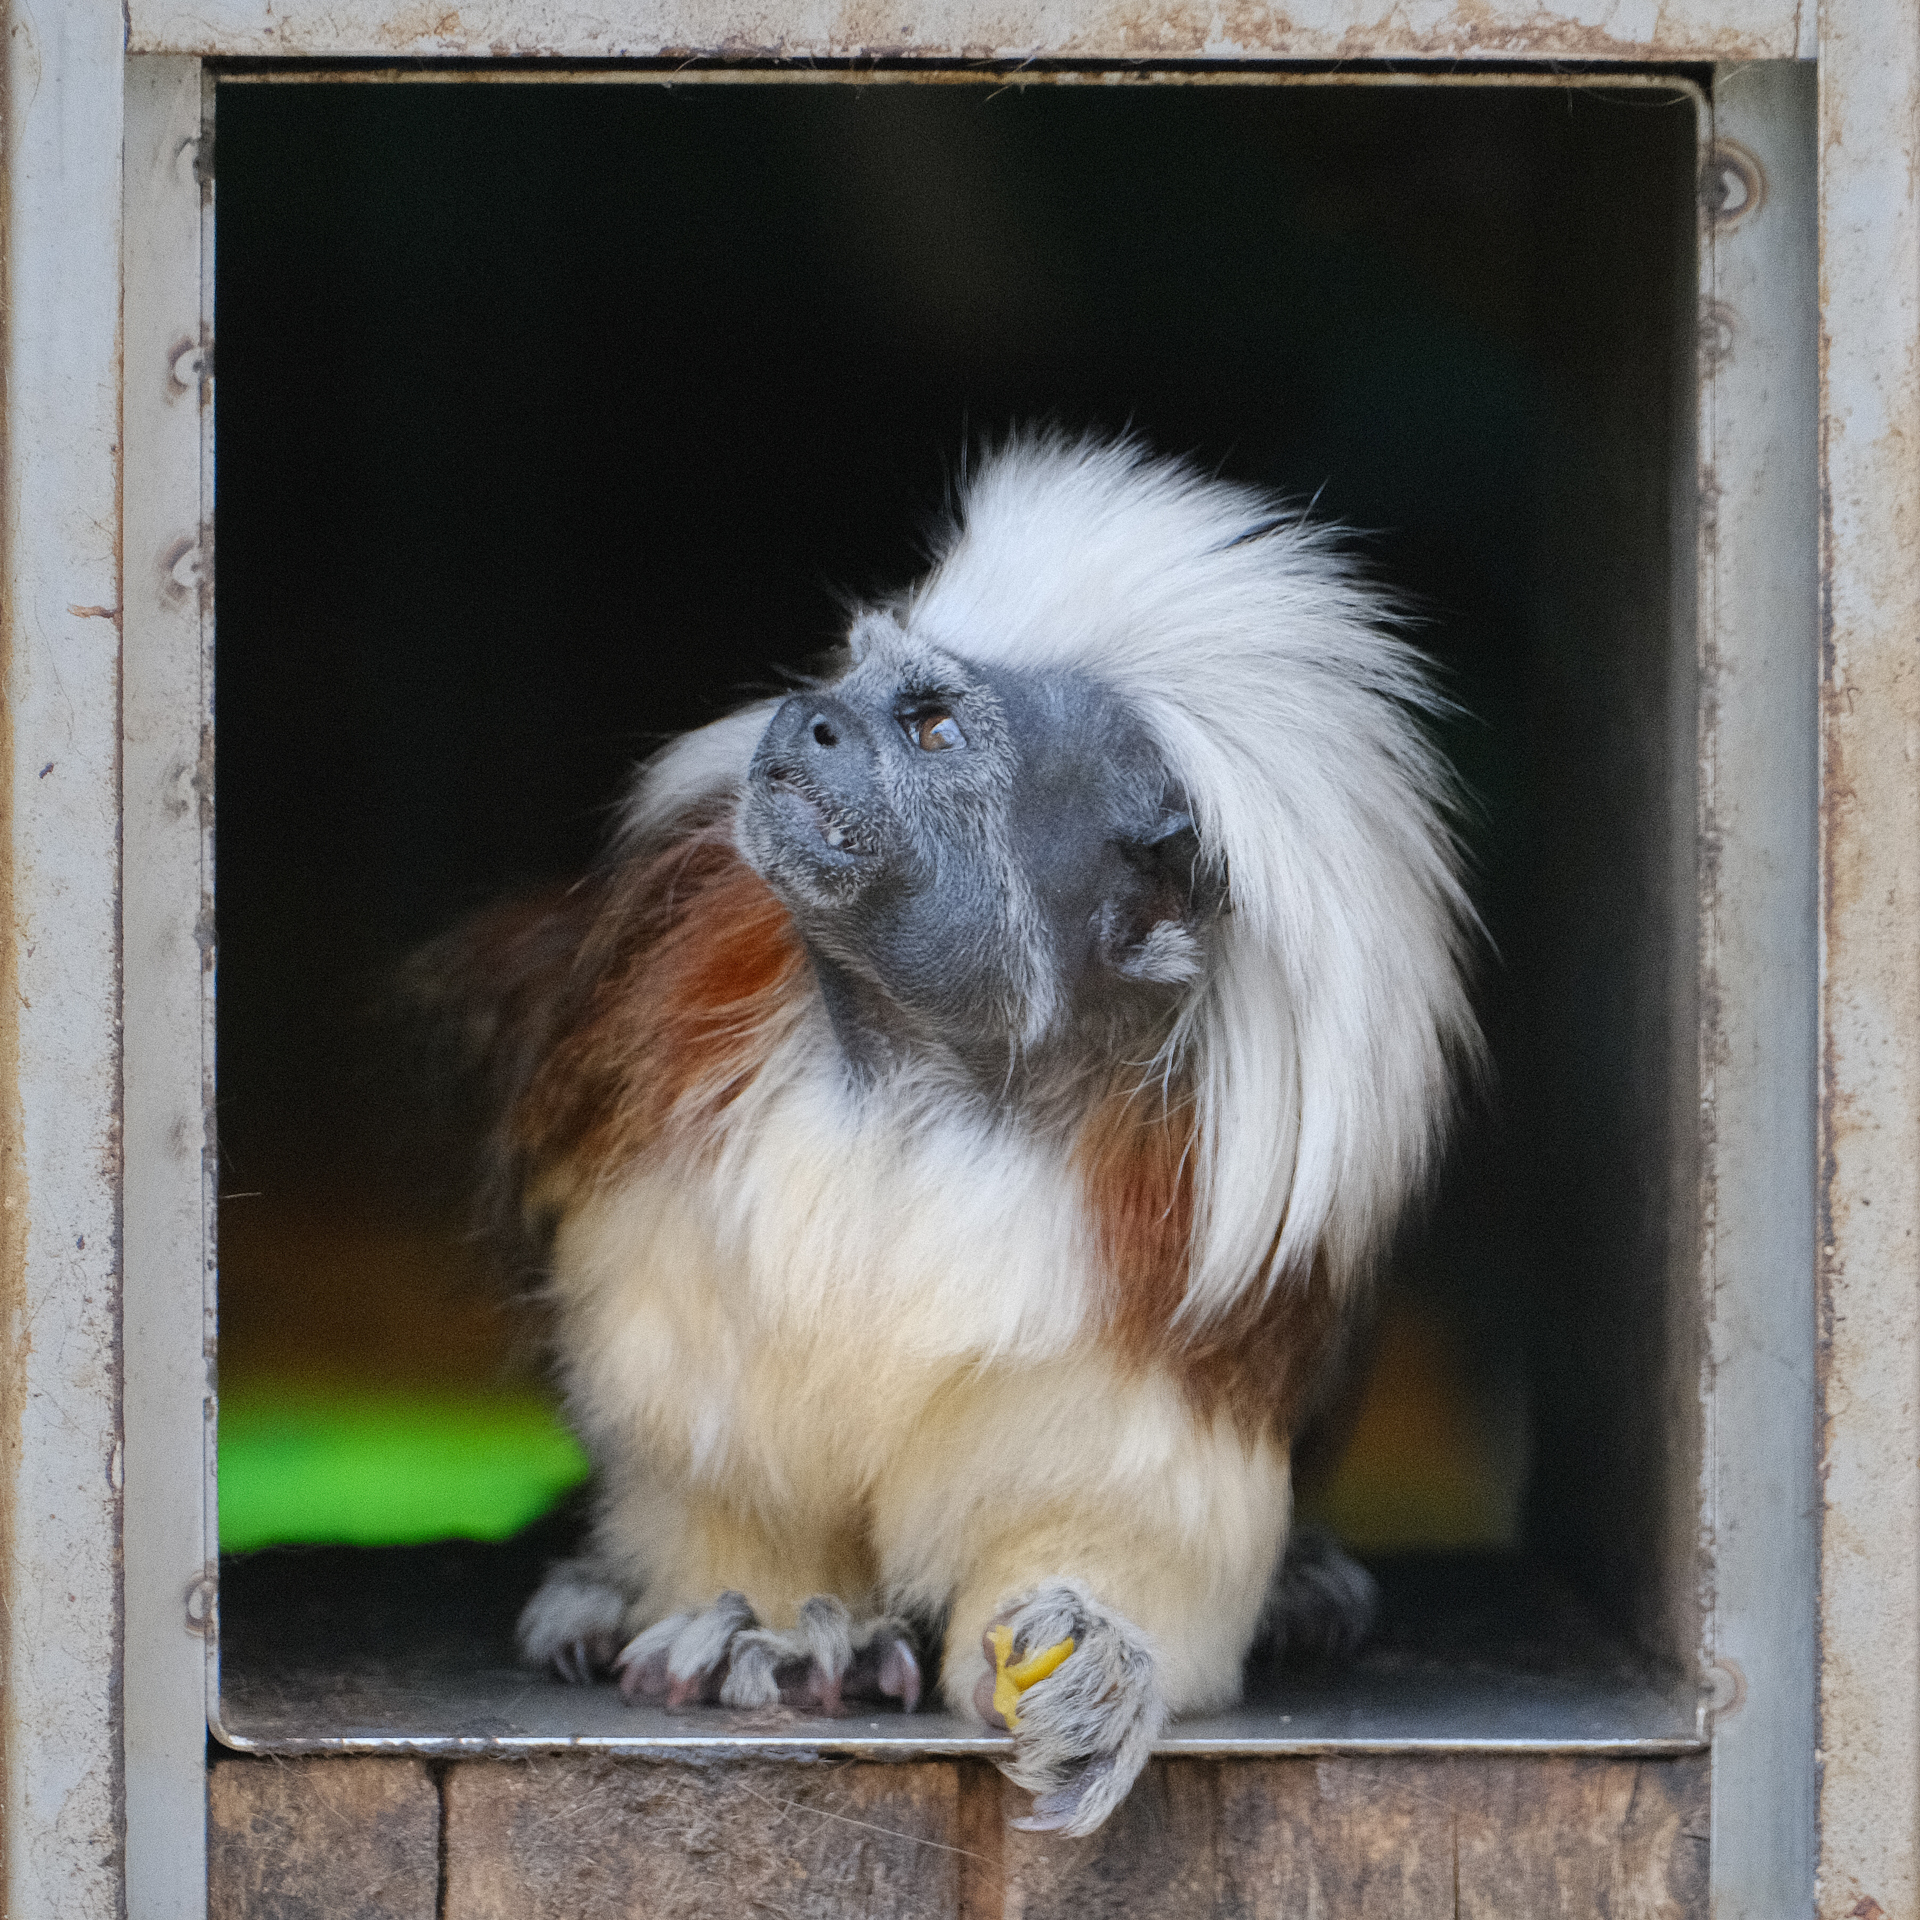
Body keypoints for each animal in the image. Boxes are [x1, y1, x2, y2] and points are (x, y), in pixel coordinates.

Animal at [417, 432, 1479, 1836]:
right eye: (848, 677)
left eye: (929, 726)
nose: (809, 717)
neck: (935, 1074)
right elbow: (718, 1453)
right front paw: (763, 1624)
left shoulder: (1171, 1276)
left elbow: (1119, 1514)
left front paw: (1099, 1663)